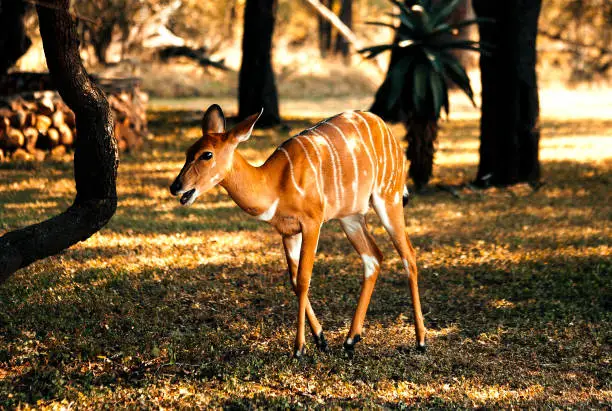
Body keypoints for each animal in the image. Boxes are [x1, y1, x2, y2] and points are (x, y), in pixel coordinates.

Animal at [170, 105, 424, 358]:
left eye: (207, 154)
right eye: (188, 152)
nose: (176, 186)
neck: (275, 184)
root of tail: (389, 133)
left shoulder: (312, 222)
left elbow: (303, 279)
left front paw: (299, 348)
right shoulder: (288, 232)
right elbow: (293, 281)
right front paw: (321, 339)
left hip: (388, 198)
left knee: (409, 255)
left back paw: (420, 341)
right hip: (350, 217)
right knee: (374, 257)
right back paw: (351, 339)